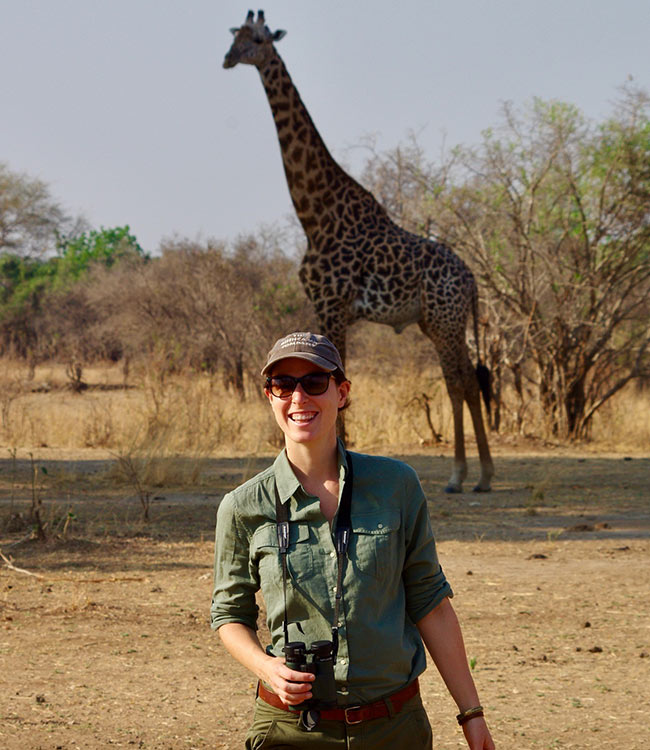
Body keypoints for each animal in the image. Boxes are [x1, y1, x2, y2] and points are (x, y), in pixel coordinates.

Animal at [223, 10, 494, 493]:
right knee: (466, 379)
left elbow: (340, 382)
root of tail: (471, 280)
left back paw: (465, 475)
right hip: (436, 321)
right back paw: (478, 473)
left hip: (446, 319)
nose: (227, 58)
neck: (314, 214)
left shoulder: (333, 304)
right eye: (235, 36)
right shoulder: (322, 306)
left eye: (257, 39)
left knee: (459, 380)